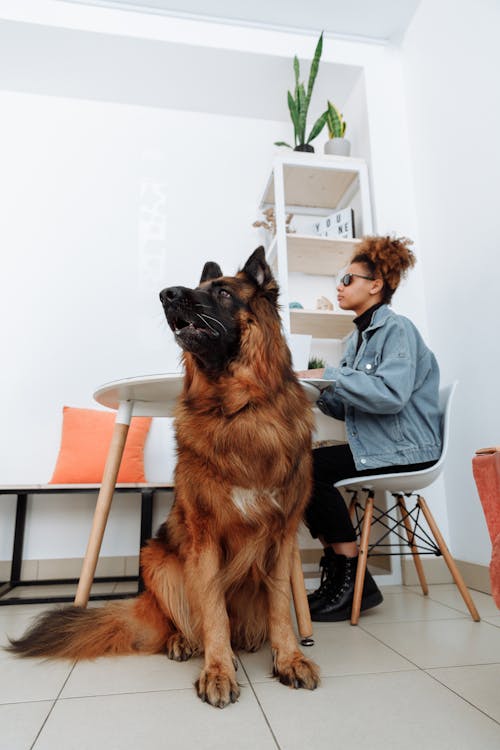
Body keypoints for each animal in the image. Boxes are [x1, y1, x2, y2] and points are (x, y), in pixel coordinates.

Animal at [7, 248, 318, 712]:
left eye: (223, 293)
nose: (166, 294)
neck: (238, 410)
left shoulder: (281, 537)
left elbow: (281, 606)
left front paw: (289, 658)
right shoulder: (203, 538)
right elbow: (212, 611)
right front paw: (217, 670)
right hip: (158, 559)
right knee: (187, 620)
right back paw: (186, 643)